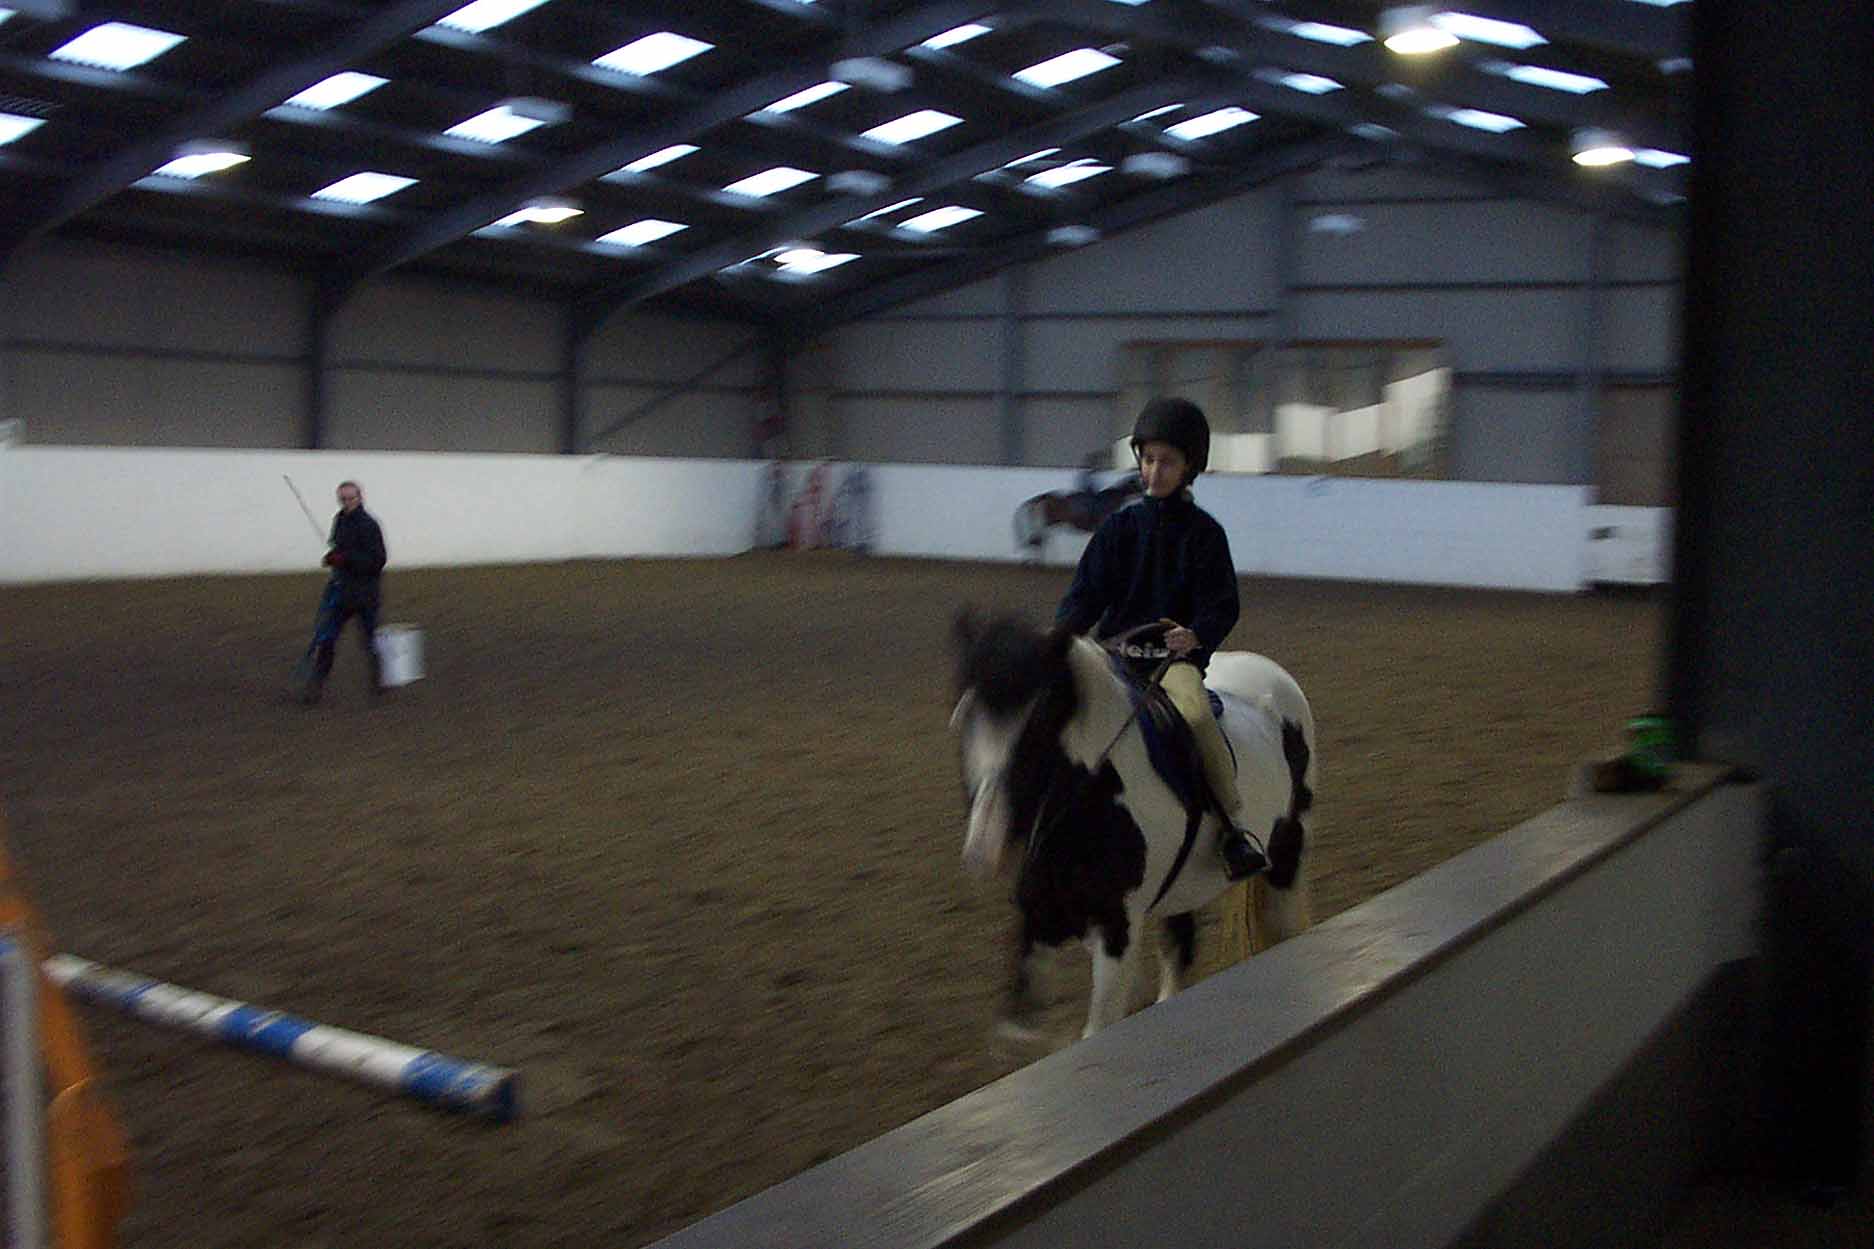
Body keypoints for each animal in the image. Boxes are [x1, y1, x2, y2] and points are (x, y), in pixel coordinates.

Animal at [949, 612, 1316, 1042]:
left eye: (1037, 724)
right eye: (964, 718)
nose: (983, 849)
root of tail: (1275, 674)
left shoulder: (1116, 926)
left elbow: (1098, 1025)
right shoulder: (1043, 917)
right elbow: (1016, 1025)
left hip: (1288, 852)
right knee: (1179, 950)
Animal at [1011, 474, 1142, 558]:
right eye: (1137, 483)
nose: (1143, 492)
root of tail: (1043, 496)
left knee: (1040, 537)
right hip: (1047, 522)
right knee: (1040, 536)